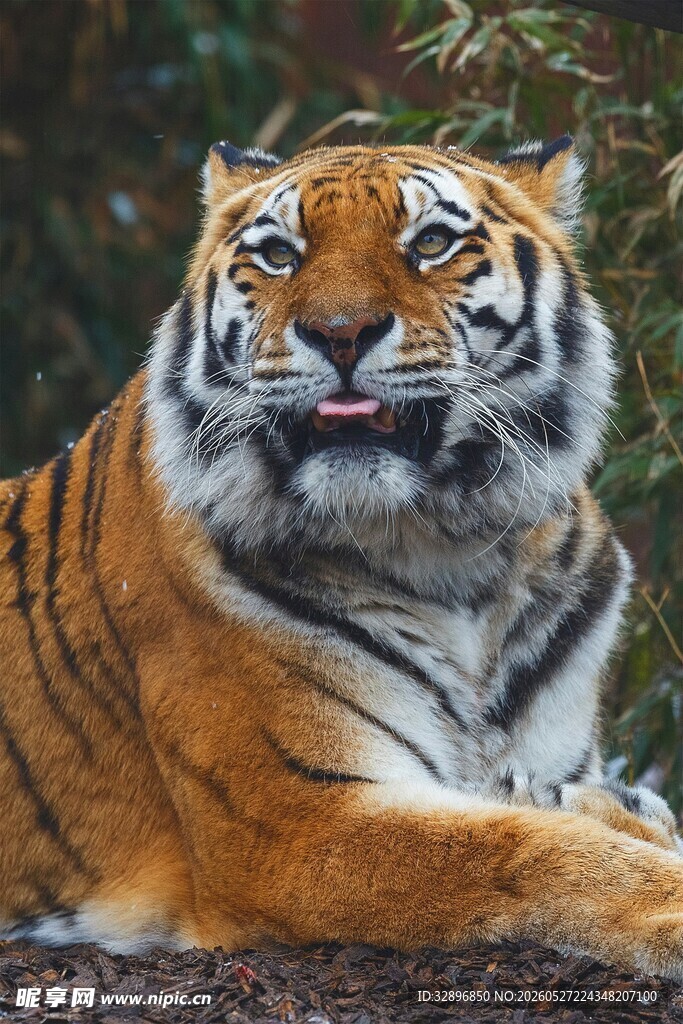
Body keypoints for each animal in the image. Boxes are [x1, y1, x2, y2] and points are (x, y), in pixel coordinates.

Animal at [1, 137, 682, 981]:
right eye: (278, 255)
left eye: (431, 243)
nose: (339, 331)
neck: (446, 554)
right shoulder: (297, 822)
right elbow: (531, 849)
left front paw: (614, 805)